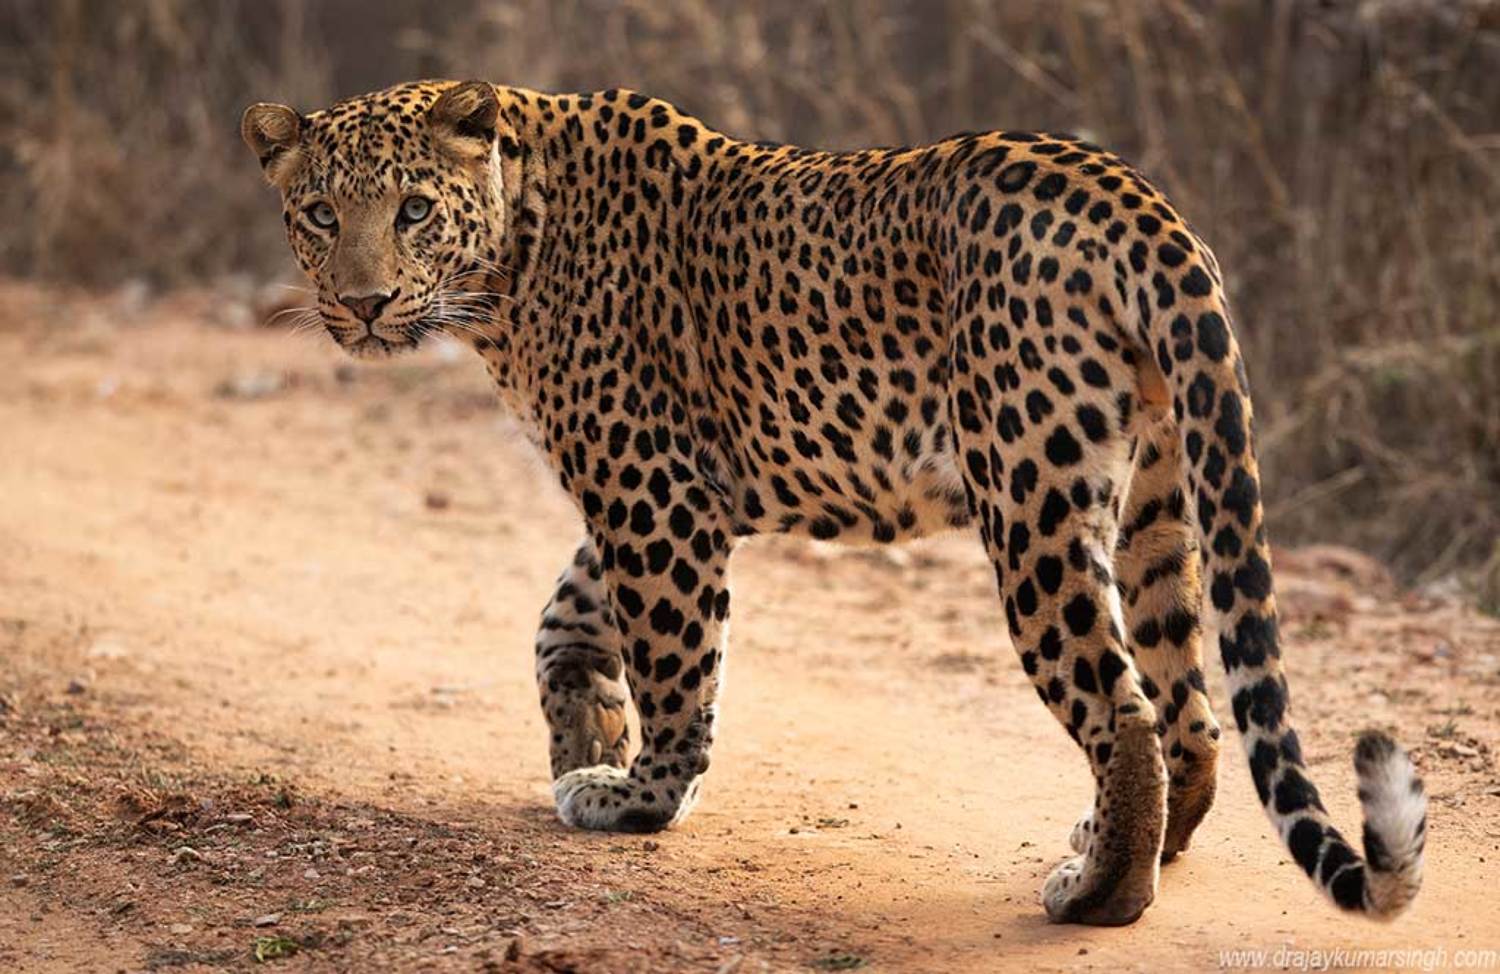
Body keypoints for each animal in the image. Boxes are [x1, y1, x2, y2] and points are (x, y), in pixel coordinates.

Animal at [241, 79, 1426, 925]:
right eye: (318, 213)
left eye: (412, 210)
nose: (362, 304)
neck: (512, 249)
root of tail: (1138, 203)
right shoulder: (674, 491)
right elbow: (565, 620)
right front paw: (585, 734)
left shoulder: (653, 489)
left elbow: (676, 663)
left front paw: (639, 797)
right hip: (1159, 496)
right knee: (1190, 704)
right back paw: (1134, 842)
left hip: (1031, 495)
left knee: (1123, 702)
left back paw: (1100, 893)